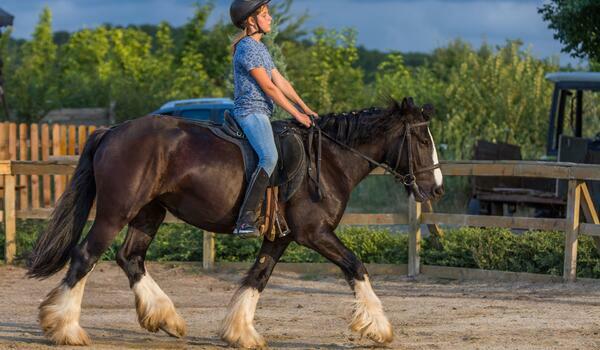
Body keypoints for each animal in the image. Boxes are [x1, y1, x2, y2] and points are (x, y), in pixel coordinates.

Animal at [25, 95, 442, 348]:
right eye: (422, 141)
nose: (435, 188)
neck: (329, 162)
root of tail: (111, 130)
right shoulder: (315, 233)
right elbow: (356, 266)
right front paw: (379, 327)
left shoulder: (281, 237)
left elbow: (258, 277)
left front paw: (240, 332)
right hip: (116, 212)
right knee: (85, 257)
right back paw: (66, 328)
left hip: (149, 213)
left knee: (130, 258)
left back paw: (166, 318)